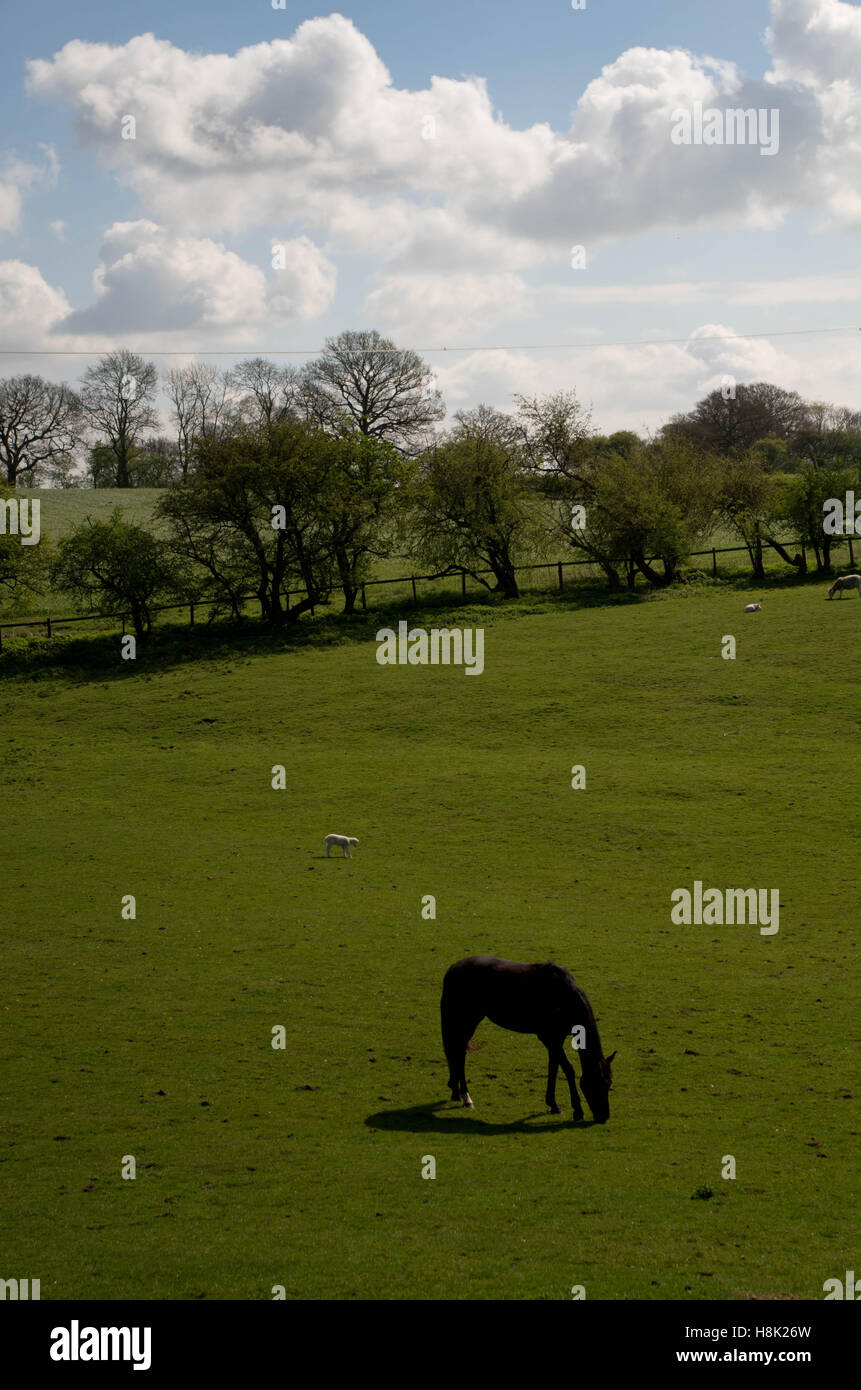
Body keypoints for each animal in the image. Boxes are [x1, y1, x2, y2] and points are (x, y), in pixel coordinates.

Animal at [442, 956, 617, 1117]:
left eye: (609, 1083)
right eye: (597, 1083)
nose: (604, 1116)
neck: (565, 997)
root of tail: (453, 968)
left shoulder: (555, 1040)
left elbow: (554, 1068)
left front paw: (553, 1104)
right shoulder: (549, 1038)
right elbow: (568, 1069)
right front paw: (577, 1109)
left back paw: (455, 1091)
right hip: (468, 1021)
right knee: (459, 1054)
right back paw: (466, 1097)